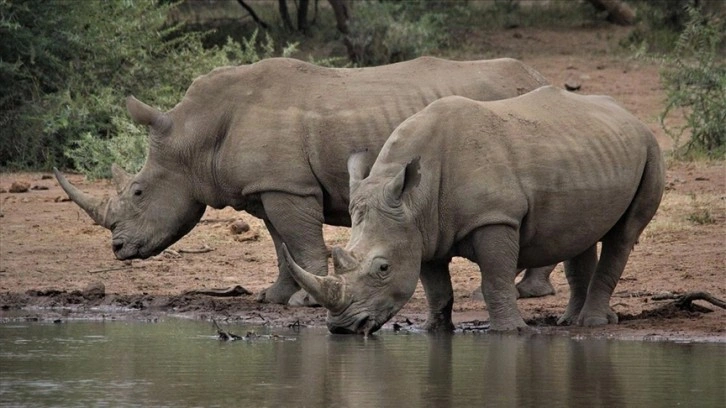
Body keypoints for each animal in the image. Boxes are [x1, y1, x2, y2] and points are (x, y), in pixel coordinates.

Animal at [52, 56, 552, 306]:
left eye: (138, 192)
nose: (118, 249)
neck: (195, 134)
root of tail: (537, 74)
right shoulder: (269, 186)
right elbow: (281, 244)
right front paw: (274, 297)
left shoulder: (288, 186)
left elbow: (300, 239)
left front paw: (306, 303)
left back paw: (528, 292)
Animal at [282, 85, 664, 332]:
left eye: (383, 268)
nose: (342, 328)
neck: (413, 199)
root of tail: (630, 116)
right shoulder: (422, 230)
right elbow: (436, 288)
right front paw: (435, 330)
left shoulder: (494, 219)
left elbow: (494, 278)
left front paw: (510, 332)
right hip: (591, 151)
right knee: (579, 234)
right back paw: (571, 322)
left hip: (650, 148)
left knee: (624, 234)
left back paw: (592, 323)